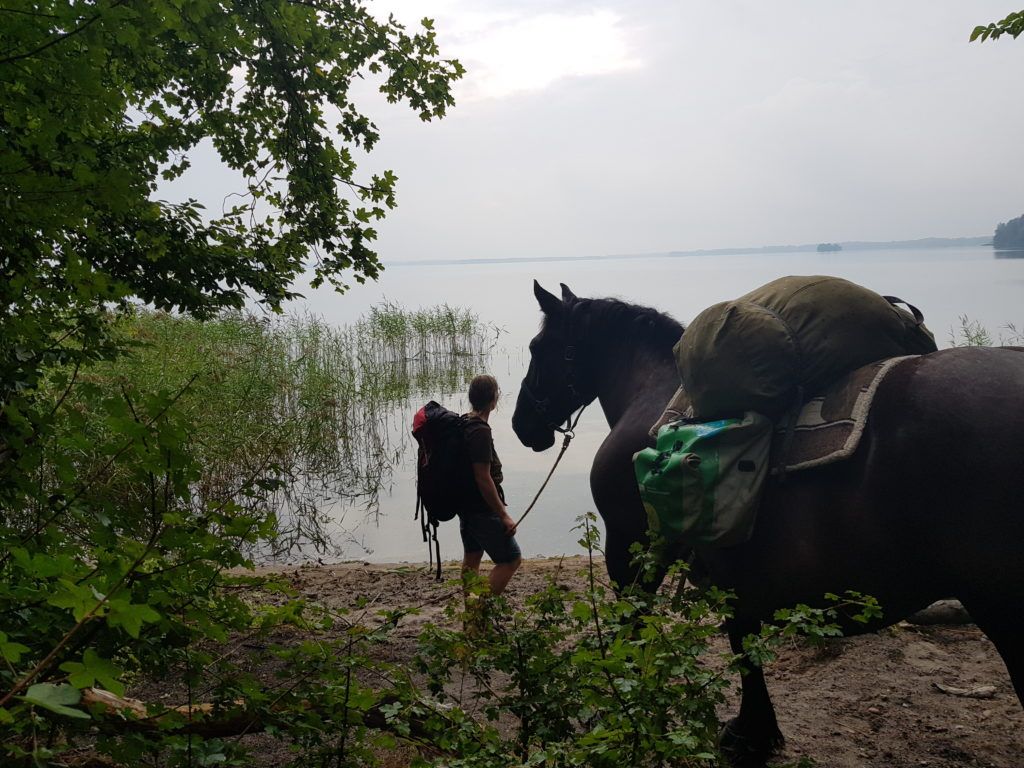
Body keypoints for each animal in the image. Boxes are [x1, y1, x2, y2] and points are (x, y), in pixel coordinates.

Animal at [511, 280, 1024, 767]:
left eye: (538, 348)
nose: (519, 424)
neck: (651, 398)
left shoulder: (632, 547)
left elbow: (646, 626)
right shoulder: (735, 575)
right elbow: (744, 640)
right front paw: (756, 732)